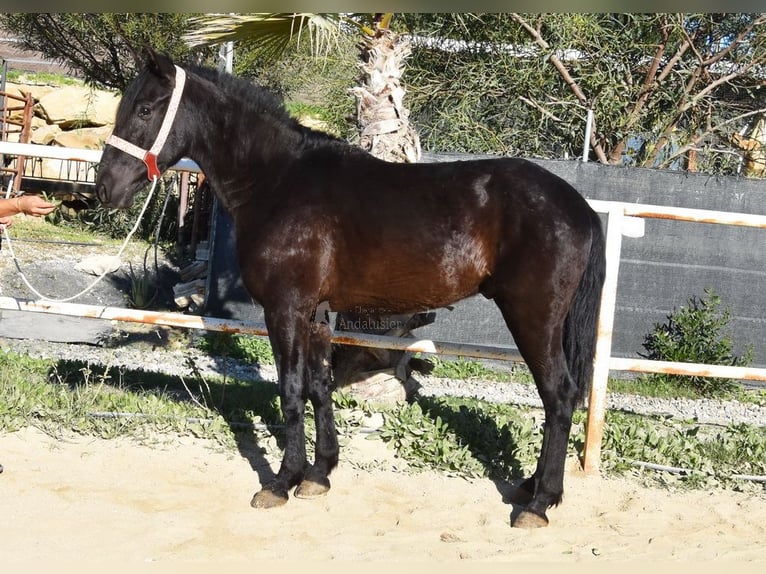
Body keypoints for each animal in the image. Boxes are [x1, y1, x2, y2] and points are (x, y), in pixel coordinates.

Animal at [94, 50, 608, 532]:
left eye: (144, 109)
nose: (105, 188)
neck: (279, 182)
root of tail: (577, 205)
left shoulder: (285, 310)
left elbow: (291, 389)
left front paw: (281, 482)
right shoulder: (317, 314)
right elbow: (320, 387)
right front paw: (319, 474)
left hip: (533, 317)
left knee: (558, 394)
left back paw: (540, 503)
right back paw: (531, 487)